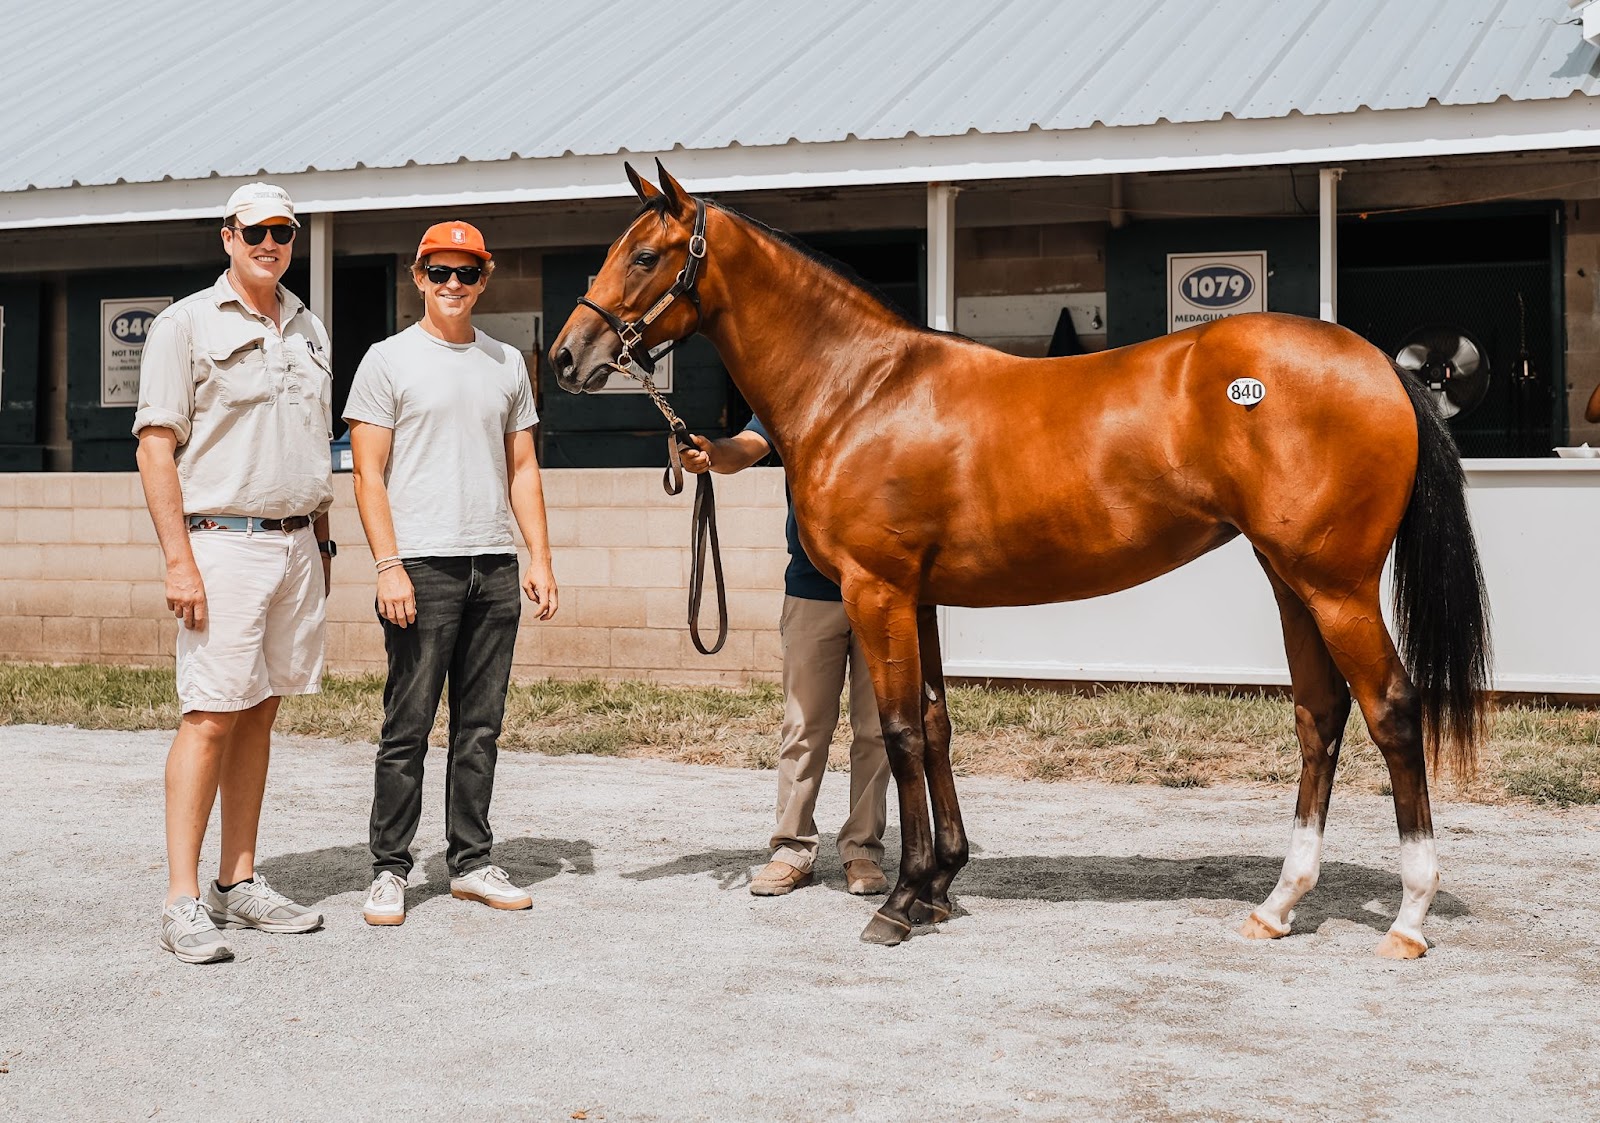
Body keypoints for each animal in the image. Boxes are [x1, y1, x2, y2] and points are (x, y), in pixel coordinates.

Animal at [550, 163, 1484, 966]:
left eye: (644, 254)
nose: (567, 356)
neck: (861, 388)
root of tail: (1379, 365)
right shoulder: (918, 597)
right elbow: (933, 725)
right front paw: (939, 884)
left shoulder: (877, 590)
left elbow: (897, 731)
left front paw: (900, 902)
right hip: (1291, 581)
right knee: (1319, 717)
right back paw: (1279, 904)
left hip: (1337, 588)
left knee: (1392, 711)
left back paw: (1408, 917)